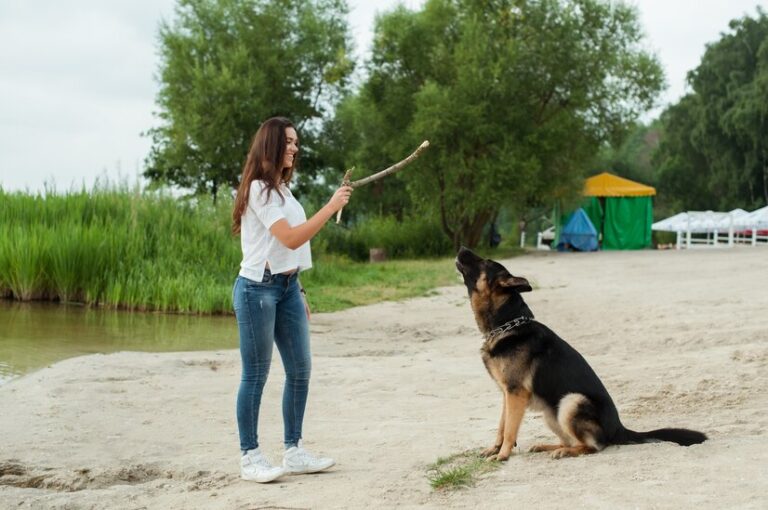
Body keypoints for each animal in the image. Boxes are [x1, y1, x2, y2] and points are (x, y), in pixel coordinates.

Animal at [452, 248, 704, 462]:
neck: (507, 323)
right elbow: (502, 426)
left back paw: (565, 452)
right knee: (572, 440)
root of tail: (619, 429)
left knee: (594, 446)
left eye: (484, 262)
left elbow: (510, 429)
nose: (461, 247)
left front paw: (503, 455)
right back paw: (549, 446)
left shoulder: (516, 394)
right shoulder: (507, 394)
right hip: (552, 412)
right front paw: (494, 449)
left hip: (571, 402)